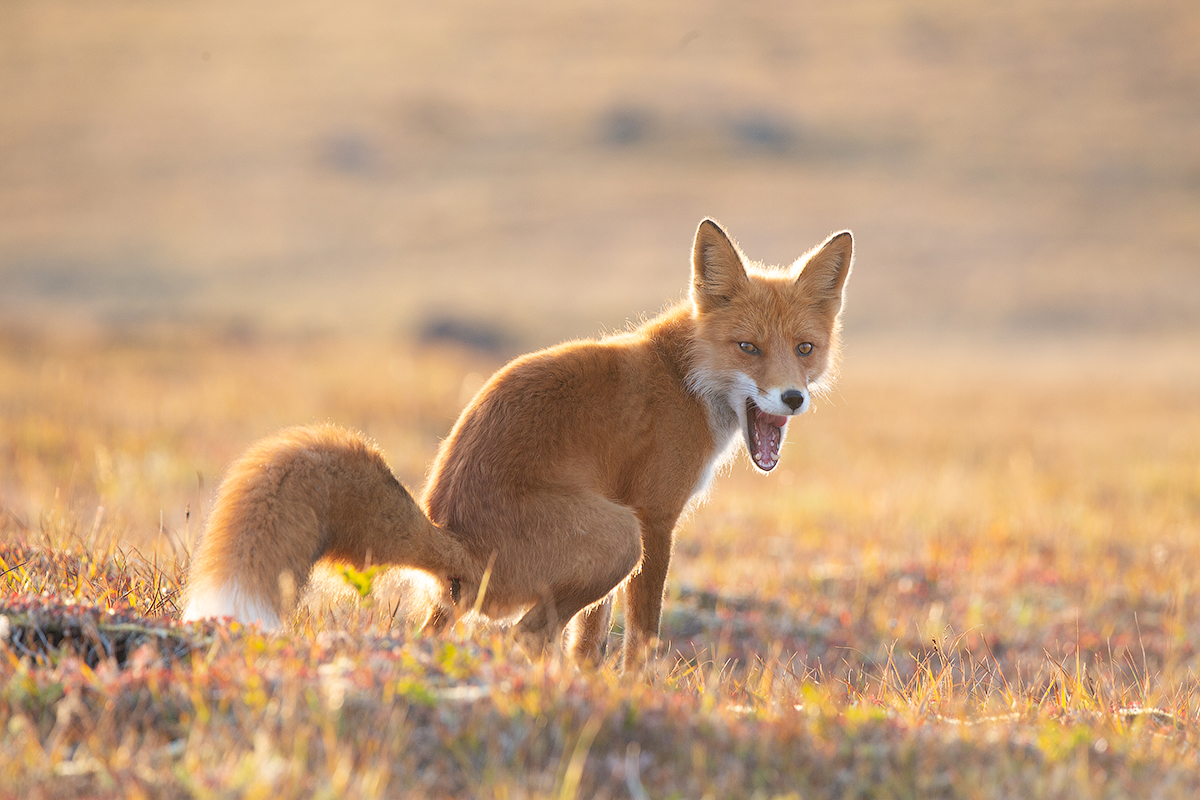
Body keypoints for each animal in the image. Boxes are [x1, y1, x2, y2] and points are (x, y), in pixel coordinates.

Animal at [180, 217, 854, 671]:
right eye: (748, 348)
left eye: (804, 349)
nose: (792, 398)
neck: (684, 377)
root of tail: (454, 537)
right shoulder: (654, 518)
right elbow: (643, 634)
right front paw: (635, 692)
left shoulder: (633, 519)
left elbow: (591, 639)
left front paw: (591, 687)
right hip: (618, 537)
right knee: (523, 635)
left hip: (555, 559)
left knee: (456, 632)